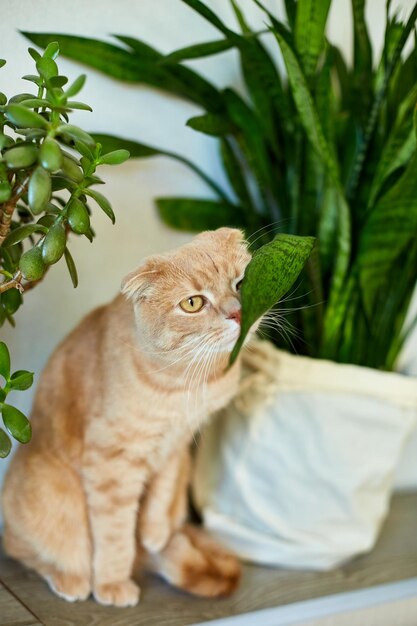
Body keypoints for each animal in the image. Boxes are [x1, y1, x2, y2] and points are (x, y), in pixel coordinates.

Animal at [2, 228, 250, 604]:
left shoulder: (177, 445)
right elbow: (115, 531)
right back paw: (70, 578)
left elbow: (162, 490)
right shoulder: (111, 463)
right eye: (193, 303)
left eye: (241, 283)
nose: (237, 314)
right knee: (26, 547)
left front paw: (153, 533)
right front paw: (112, 584)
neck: (185, 383)